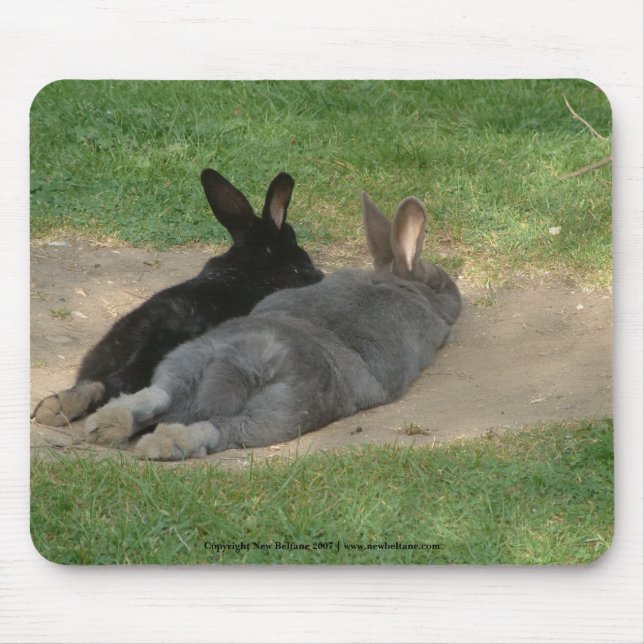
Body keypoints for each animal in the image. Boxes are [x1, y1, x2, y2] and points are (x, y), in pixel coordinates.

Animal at [83, 191, 462, 460]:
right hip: (279, 414)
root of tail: (242, 363)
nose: (456, 296)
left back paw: (104, 425)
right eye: (442, 282)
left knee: (160, 393)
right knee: (216, 429)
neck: (401, 283)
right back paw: (159, 444)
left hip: (190, 359)